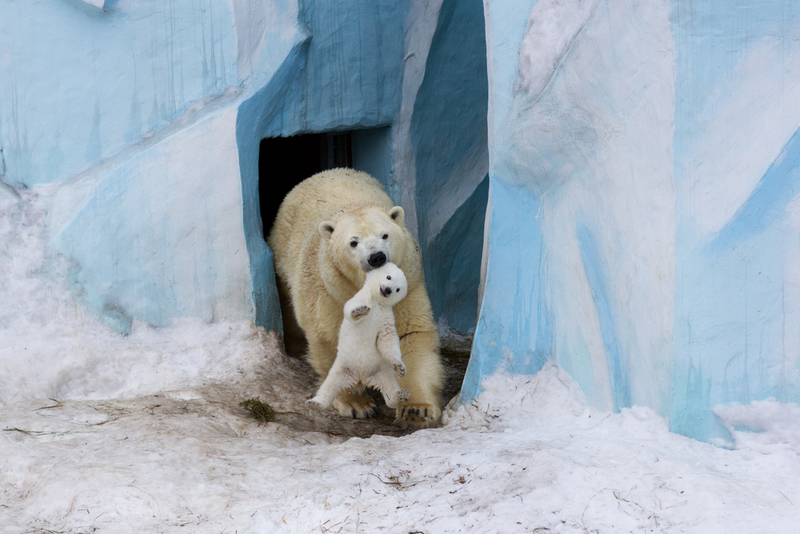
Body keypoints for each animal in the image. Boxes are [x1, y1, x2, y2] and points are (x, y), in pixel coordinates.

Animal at [308, 262, 412, 410]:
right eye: (388, 276)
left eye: (398, 289)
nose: (387, 290)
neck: (376, 301)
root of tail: (361, 378)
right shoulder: (360, 298)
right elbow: (350, 309)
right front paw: (360, 311)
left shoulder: (385, 317)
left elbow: (387, 338)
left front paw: (400, 368)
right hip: (343, 367)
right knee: (330, 385)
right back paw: (316, 402)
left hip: (380, 370)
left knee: (389, 387)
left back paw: (400, 396)